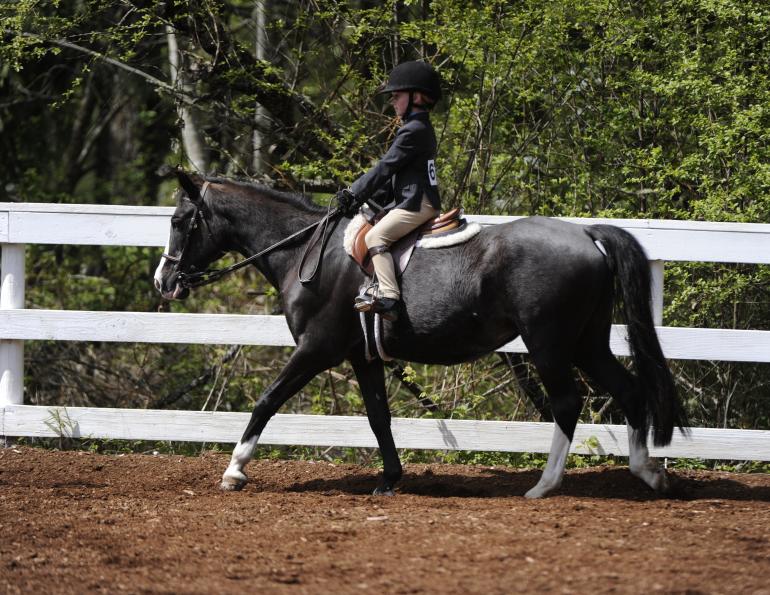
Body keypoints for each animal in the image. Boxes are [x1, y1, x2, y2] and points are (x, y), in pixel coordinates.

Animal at [154, 169, 688, 498]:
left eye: (180, 220)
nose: (163, 282)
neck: (307, 252)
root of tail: (586, 234)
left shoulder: (316, 349)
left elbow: (266, 401)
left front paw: (234, 470)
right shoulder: (362, 356)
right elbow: (378, 418)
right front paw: (390, 479)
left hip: (550, 343)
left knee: (566, 403)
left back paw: (544, 485)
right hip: (586, 342)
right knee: (629, 391)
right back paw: (649, 474)